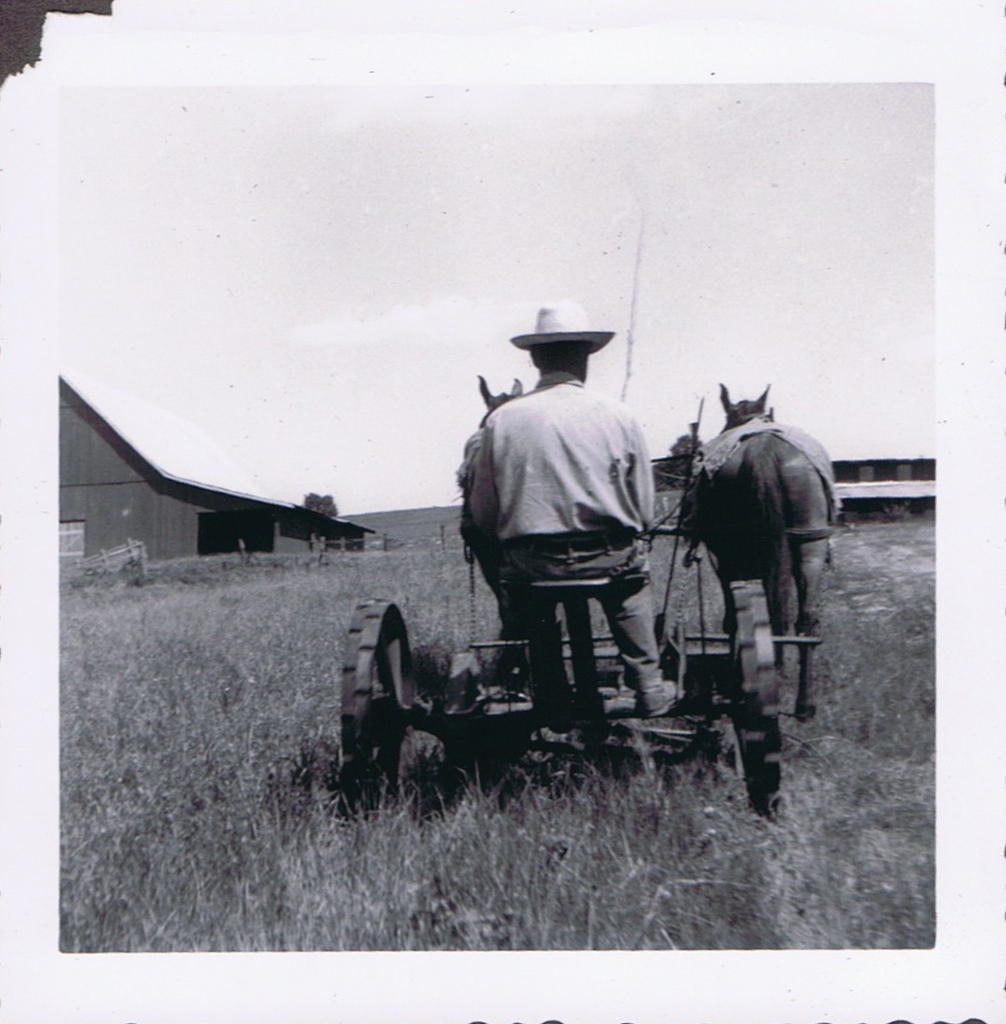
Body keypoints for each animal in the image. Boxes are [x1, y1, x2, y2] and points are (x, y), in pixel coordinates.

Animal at [688, 385, 840, 720]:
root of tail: (764, 449)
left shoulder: (725, 560)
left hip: (736, 552)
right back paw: (804, 705)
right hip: (809, 546)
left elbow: (734, 618)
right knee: (806, 621)